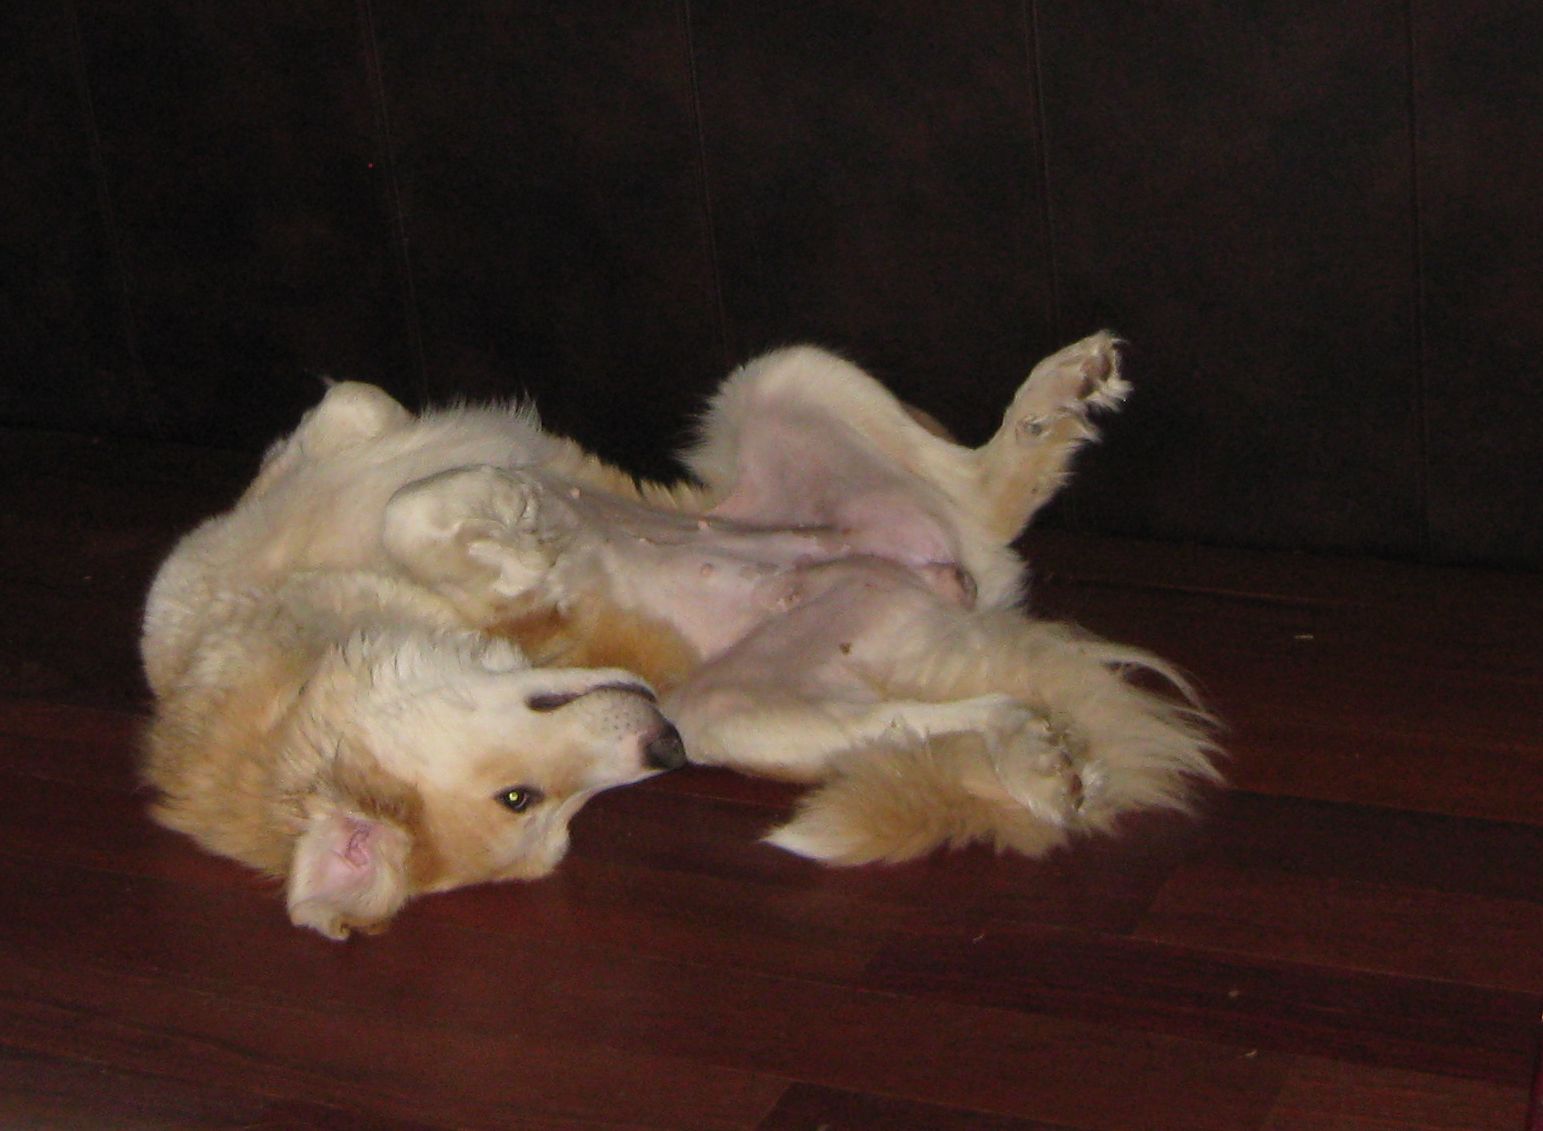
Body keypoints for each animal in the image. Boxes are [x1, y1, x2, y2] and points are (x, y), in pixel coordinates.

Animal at [141, 332, 1220, 938]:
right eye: (528, 802)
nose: (658, 746)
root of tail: (946, 590)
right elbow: (431, 516)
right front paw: (518, 544)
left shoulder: (334, 438)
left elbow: (366, 426)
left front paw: (514, 501)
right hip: (741, 710)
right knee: (952, 704)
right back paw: (1034, 755)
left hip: (782, 379)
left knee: (983, 489)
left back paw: (1054, 399)